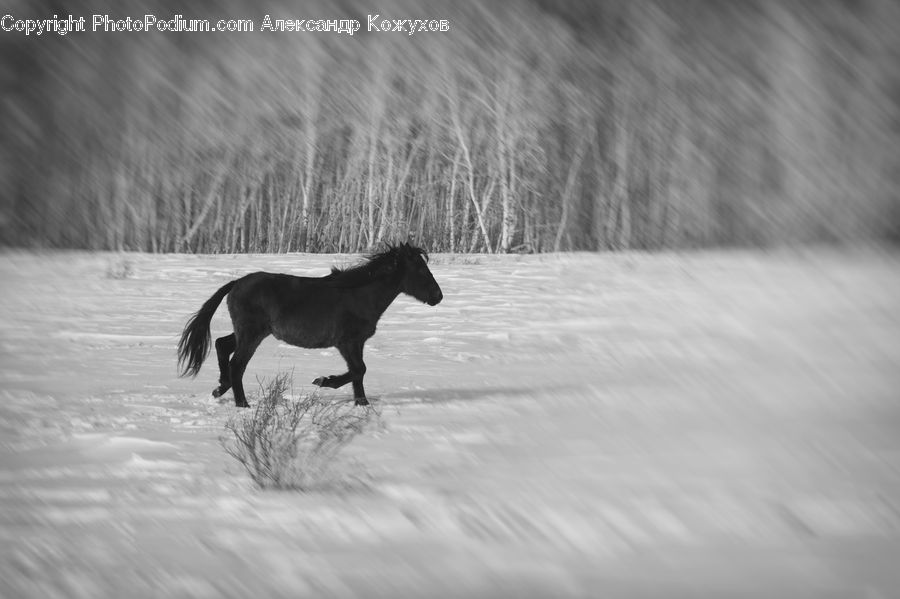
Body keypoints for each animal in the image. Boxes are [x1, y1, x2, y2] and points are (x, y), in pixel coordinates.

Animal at [177, 242, 443, 407]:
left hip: (250, 333)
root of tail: (236, 283)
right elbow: (359, 370)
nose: (438, 296)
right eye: (420, 269)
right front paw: (324, 381)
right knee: (237, 364)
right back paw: (242, 404)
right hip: (251, 334)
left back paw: (220, 388)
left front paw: (362, 404)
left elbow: (358, 374)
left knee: (222, 345)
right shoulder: (348, 342)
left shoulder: (355, 344)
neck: (359, 295)